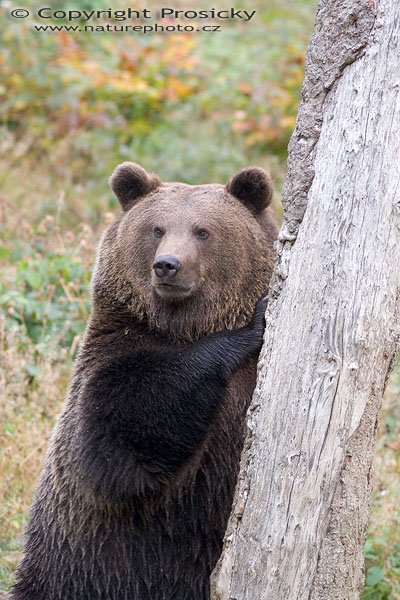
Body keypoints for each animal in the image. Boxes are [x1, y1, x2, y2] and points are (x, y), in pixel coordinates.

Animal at [10, 164, 278, 600]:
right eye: (157, 228)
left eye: (203, 231)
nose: (168, 264)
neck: (183, 327)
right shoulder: (111, 355)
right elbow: (119, 439)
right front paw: (248, 328)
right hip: (81, 564)